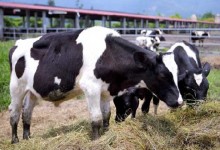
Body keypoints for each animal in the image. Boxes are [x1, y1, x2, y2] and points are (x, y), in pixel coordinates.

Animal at [8, 26, 184, 144]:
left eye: (176, 75)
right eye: (162, 75)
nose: (180, 102)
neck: (108, 55)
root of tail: (18, 42)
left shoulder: (106, 91)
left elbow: (106, 115)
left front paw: (106, 133)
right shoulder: (90, 87)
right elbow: (96, 117)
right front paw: (96, 139)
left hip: (32, 90)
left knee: (27, 112)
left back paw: (27, 137)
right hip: (16, 88)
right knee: (14, 112)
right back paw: (15, 140)